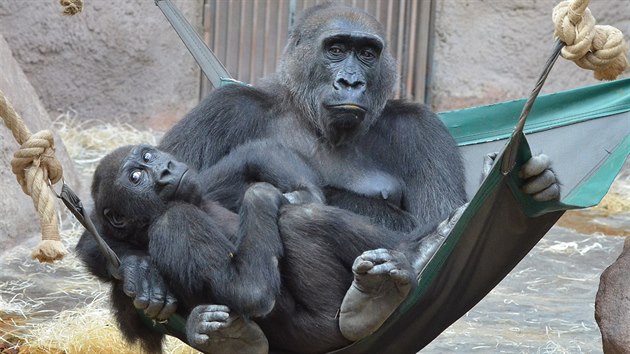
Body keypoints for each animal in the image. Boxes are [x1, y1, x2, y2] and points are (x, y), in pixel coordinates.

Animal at [94, 142, 420, 354]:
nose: (165, 170)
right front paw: (261, 195)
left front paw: (299, 192)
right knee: (298, 221)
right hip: (324, 330)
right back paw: (378, 294)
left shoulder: (201, 187)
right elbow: (248, 291)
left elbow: (255, 154)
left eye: (149, 155)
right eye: (136, 177)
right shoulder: (174, 221)